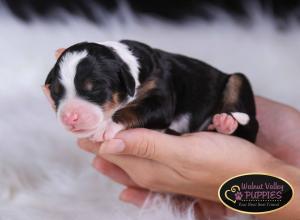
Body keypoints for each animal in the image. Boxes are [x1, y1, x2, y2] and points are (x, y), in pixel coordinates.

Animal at [43, 40, 258, 142]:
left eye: (96, 89)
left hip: (238, 80)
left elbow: (132, 110)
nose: (69, 118)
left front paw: (106, 127)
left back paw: (226, 123)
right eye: (56, 91)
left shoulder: (161, 98)